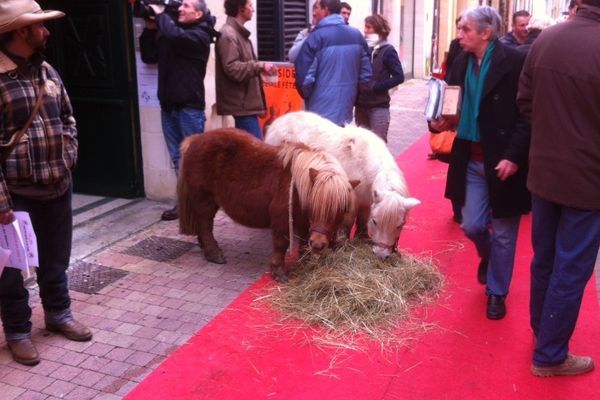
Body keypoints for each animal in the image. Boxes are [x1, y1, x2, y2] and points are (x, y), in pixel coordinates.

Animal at [176, 128, 358, 282]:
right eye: (315, 205)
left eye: (341, 209)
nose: (319, 245)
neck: (297, 186)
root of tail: (194, 139)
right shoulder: (281, 219)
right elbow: (281, 244)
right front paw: (279, 271)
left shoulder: (304, 222)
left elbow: (304, 241)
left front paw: (305, 263)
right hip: (204, 200)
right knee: (205, 225)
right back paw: (213, 253)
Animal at [264, 111, 420, 258]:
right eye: (375, 221)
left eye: (400, 225)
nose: (382, 255)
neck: (364, 166)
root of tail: (277, 122)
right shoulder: (350, 203)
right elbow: (347, 225)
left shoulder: (366, 203)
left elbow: (362, 221)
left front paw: (362, 238)